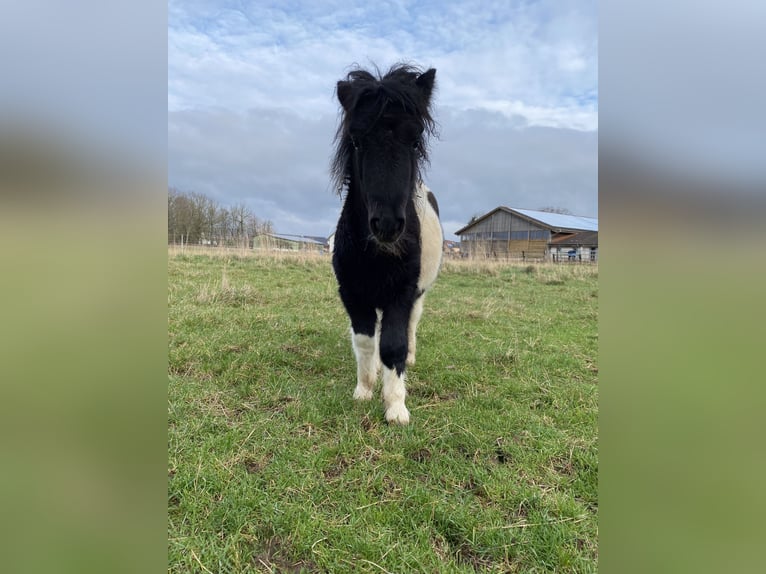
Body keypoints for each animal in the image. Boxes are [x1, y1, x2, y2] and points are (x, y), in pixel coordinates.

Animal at [330, 65, 444, 428]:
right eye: (356, 139)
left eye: (415, 139)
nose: (388, 225)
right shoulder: (353, 294)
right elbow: (366, 342)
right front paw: (365, 390)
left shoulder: (401, 295)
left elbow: (393, 345)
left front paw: (395, 406)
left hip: (418, 295)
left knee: (410, 328)